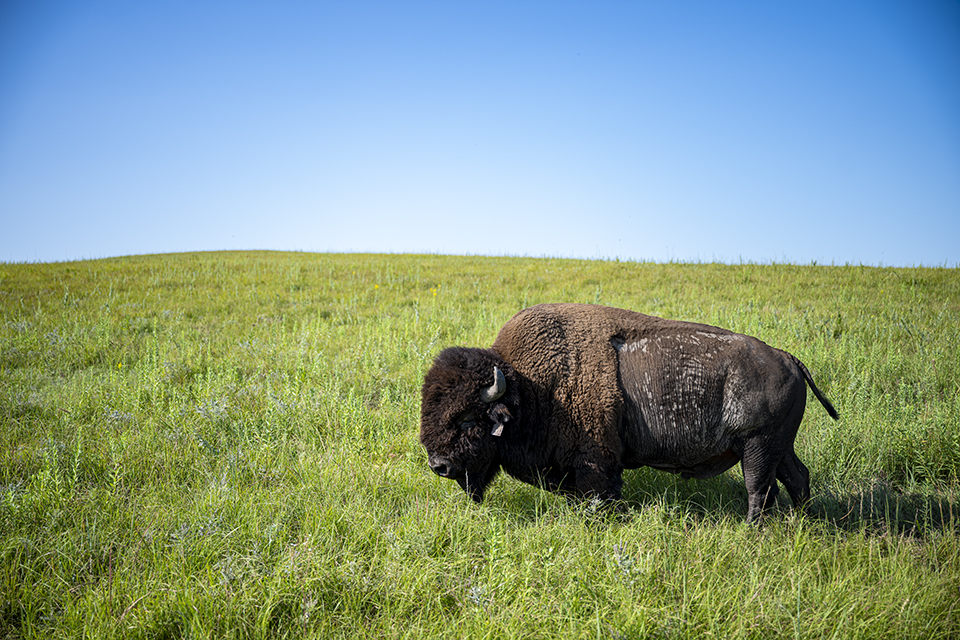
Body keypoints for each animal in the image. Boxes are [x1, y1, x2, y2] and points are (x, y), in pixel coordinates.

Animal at [422, 302, 840, 524]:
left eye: (468, 419)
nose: (438, 465)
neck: (528, 387)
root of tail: (787, 358)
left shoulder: (596, 463)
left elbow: (599, 495)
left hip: (757, 446)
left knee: (760, 488)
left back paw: (752, 530)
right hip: (778, 446)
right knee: (796, 479)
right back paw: (800, 523)